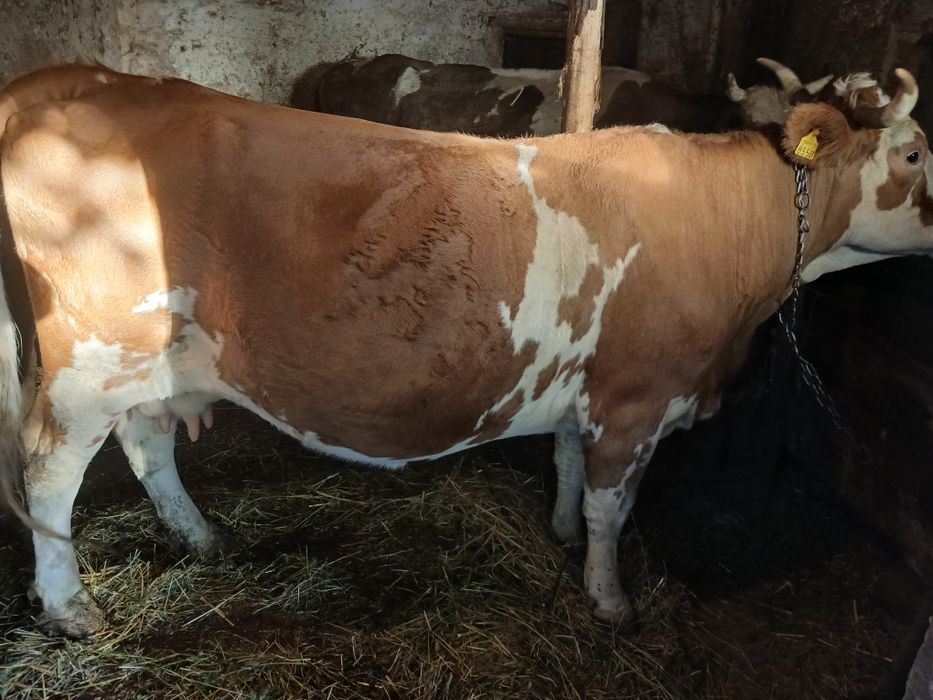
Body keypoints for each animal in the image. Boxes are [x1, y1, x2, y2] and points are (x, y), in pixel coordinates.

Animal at [0, 63, 930, 638]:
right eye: (916, 152)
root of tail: (67, 80)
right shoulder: (636, 398)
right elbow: (613, 509)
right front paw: (609, 601)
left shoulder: (589, 387)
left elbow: (565, 464)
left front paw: (557, 532)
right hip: (88, 363)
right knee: (48, 475)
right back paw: (69, 607)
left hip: (148, 360)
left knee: (148, 443)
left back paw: (201, 539)